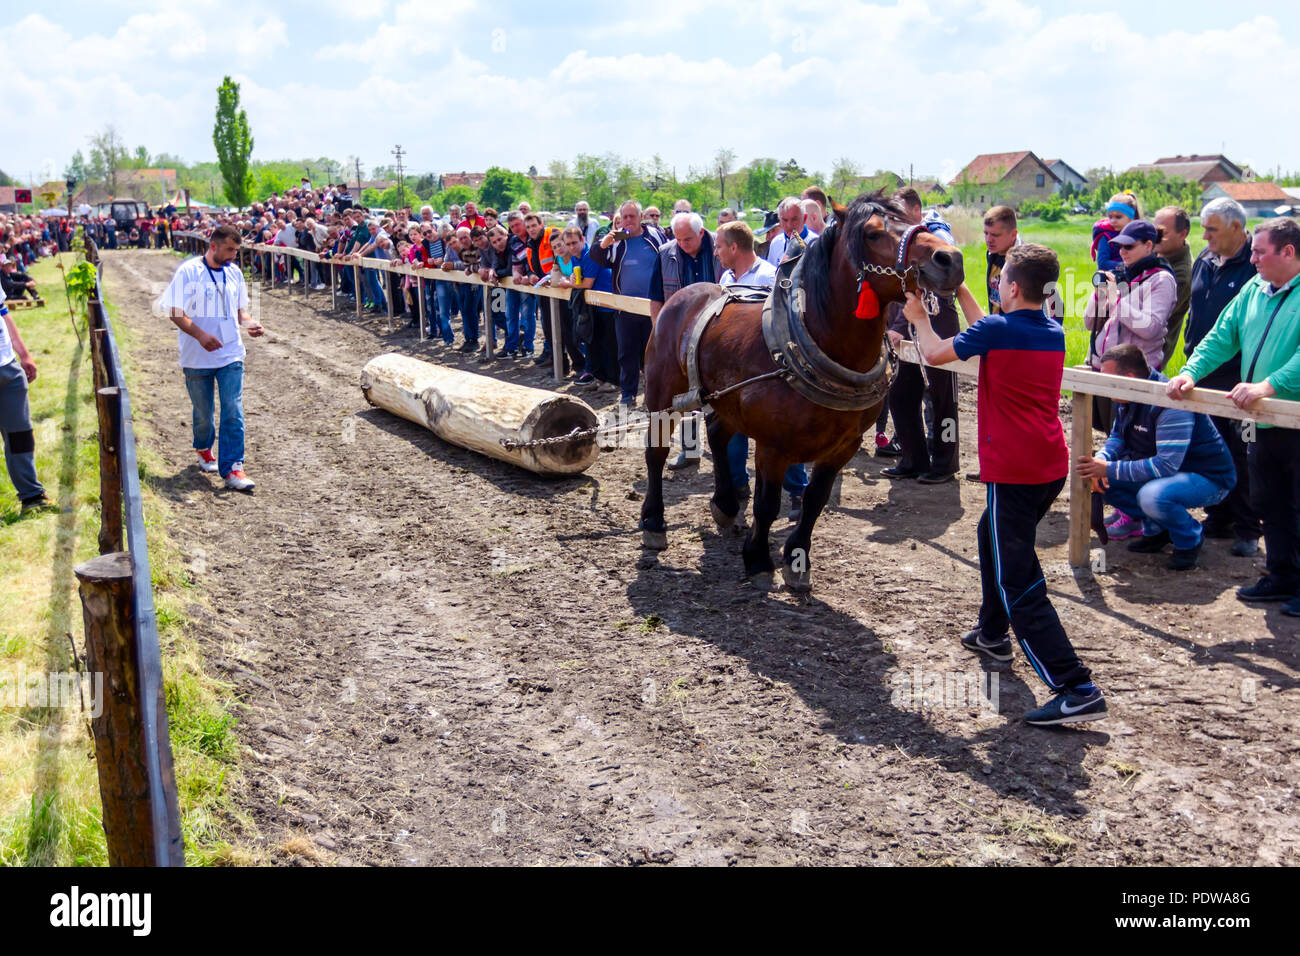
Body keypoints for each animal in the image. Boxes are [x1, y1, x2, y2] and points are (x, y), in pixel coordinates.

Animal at [639, 193, 967, 590]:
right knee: (656, 453)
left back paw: (726, 505)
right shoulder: (773, 445)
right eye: (873, 233)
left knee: (718, 436)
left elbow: (814, 500)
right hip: (662, 393)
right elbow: (767, 503)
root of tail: (685, 295)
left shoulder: (844, 445)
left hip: (723, 397)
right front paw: (758, 559)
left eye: (913, 220)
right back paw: (654, 522)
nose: (950, 260)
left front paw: (797, 558)